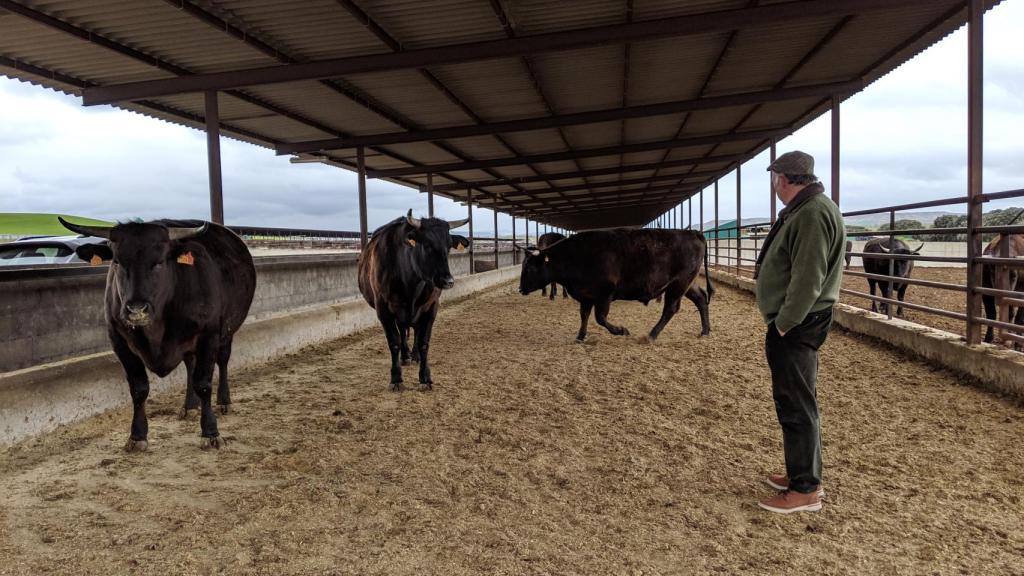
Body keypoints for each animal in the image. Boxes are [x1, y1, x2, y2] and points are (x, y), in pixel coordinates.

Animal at [58, 217, 256, 450]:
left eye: (160, 262)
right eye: (116, 261)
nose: (136, 309)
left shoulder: (209, 335)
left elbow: (204, 383)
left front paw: (210, 431)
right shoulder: (119, 342)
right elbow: (139, 388)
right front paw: (137, 435)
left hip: (227, 331)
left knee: (222, 362)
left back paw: (224, 401)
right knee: (190, 365)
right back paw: (190, 406)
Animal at [358, 208, 468, 387]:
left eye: (449, 246)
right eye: (427, 244)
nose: (448, 281)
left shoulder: (431, 307)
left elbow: (424, 342)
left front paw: (425, 377)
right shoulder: (383, 308)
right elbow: (394, 342)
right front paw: (396, 378)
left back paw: (414, 356)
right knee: (402, 331)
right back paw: (405, 356)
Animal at [520, 227, 712, 340]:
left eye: (530, 268)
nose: (520, 288)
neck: (577, 255)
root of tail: (694, 233)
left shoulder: (605, 293)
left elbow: (600, 318)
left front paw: (621, 330)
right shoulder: (586, 296)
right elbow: (584, 315)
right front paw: (580, 336)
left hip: (679, 284)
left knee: (671, 308)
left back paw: (651, 335)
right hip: (687, 284)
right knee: (701, 298)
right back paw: (705, 331)